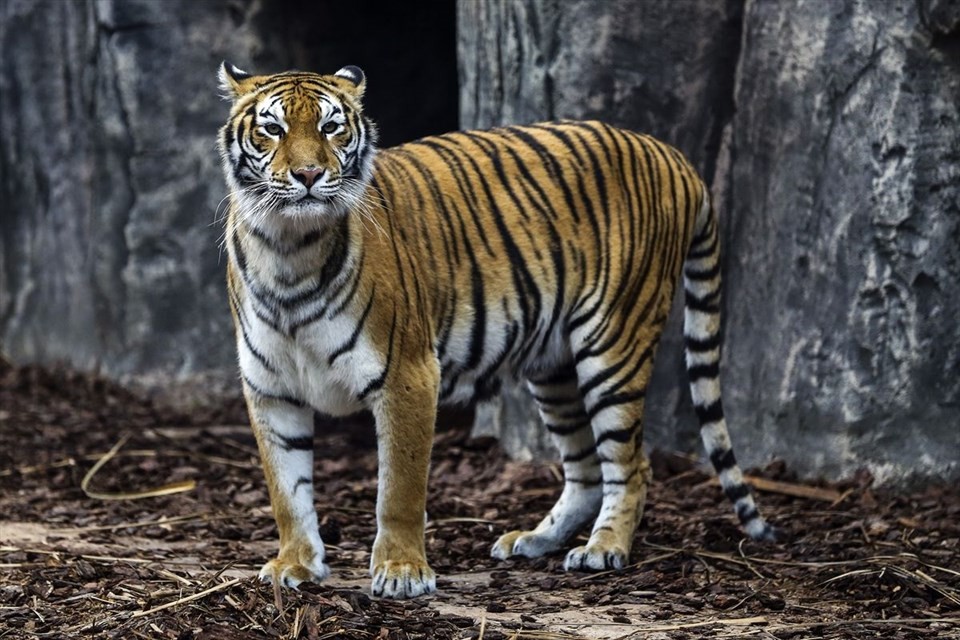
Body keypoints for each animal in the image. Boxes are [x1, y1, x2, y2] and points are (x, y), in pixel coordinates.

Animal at [216, 62, 772, 596]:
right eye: (272, 128)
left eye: (331, 128)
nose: (309, 174)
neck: (287, 249)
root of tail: (672, 154)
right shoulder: (271, 389)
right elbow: (287, 492)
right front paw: (294, 565)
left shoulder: (408, 375)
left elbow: (399, 489)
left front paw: (402, 572)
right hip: (554, 367)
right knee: (587, 469)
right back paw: (536, 540)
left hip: (613, 346)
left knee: (631, 465)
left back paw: (603, 549)